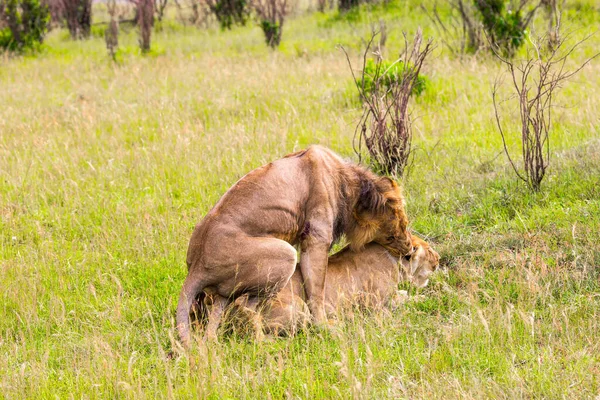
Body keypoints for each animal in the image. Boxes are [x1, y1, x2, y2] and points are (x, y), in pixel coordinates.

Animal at [177, 145, 412, 346]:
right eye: (397, 230)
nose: (410, 249)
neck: (346, 182)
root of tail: (196, 265)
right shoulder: (316, 238)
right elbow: (317, 291)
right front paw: (324, 326)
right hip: (285, 254)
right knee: (247, 307)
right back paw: (267, 342)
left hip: (225, 292)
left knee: (218, 316)